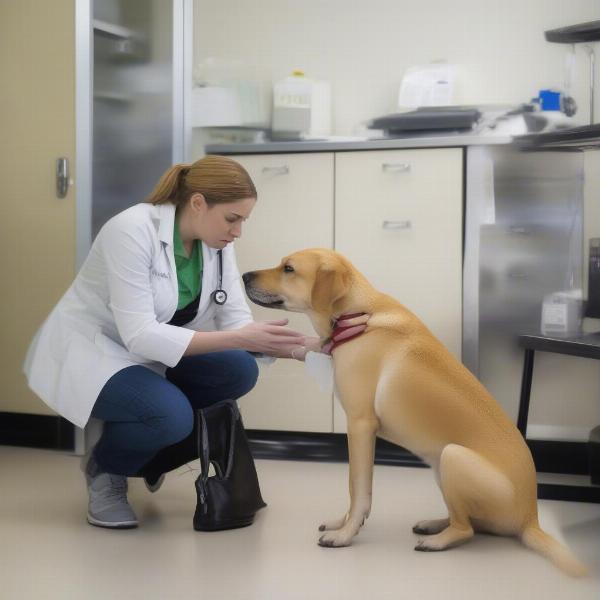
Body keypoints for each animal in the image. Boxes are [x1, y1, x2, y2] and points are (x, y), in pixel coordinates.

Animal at [243, 247, 584, 576]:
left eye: (288, 268)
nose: (244, 275)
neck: (357, 311)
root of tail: (530, 518)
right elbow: (354, 491)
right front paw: (343, 523)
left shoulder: (360, 426)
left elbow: (357, 489)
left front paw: (345, 534)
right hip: (440, 467)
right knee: (471, 521)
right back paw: (435, 523)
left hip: (452, 456)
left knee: (467, 529)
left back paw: (437, 540)